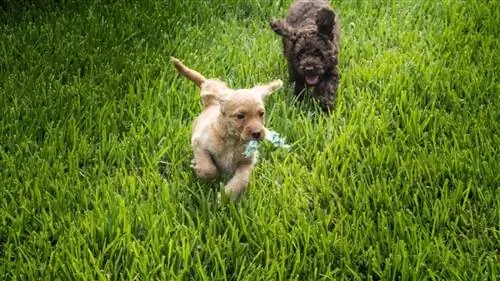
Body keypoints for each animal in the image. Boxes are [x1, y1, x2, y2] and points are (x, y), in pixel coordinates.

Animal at [171, 58, 282, 200]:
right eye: (240, 116)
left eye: (261, 114)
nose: (257, 133)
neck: (233, 141)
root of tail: (212, 103)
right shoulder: (199, 144)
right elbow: (209, 169)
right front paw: (200, 170)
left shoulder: (247, 162)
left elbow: (241, 180)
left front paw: (226, 196)